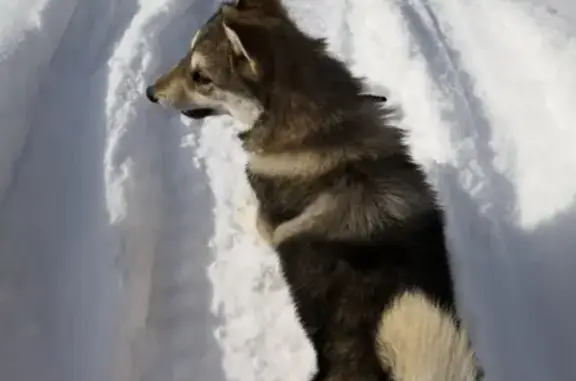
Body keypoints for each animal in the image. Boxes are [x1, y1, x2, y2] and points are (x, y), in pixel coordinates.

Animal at [146, 0, 480, 380]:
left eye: (201, 77)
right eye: (187, 55)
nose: (150, 92)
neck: (324, 132)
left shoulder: (269, 220)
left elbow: (259, 221)